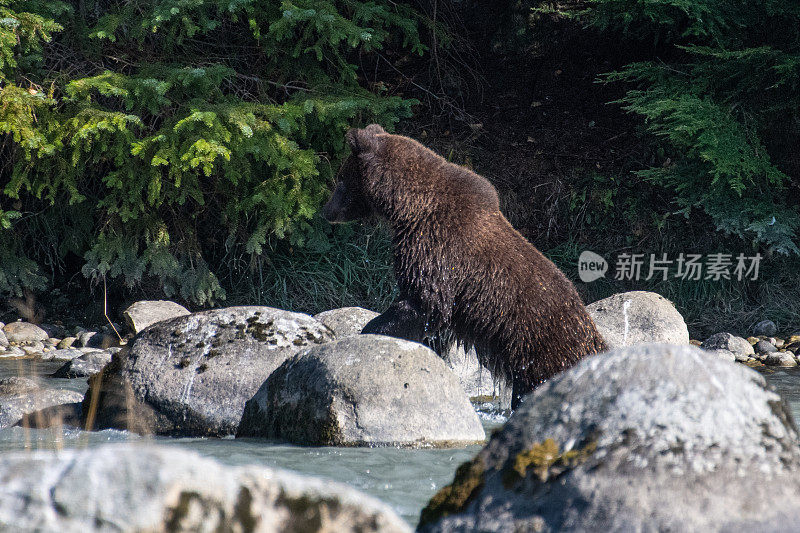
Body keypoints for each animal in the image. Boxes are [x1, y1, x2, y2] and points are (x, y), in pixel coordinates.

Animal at [324, 124, 608, 408]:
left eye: (341, 179)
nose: (327, 211)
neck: (410, 208)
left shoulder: (436, 248)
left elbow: (424, 303)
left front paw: (370, 330)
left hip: (542, 349)